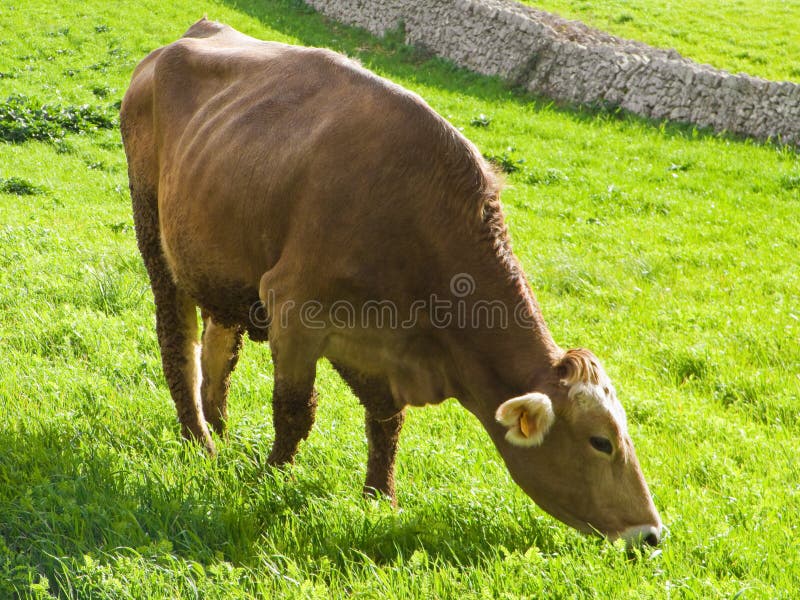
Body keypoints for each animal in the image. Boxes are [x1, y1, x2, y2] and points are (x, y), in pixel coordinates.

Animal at [120, 18, 662, 547]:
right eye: (601, 442)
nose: (652, 533)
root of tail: (186, 37)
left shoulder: (371, 338)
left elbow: (386, 420)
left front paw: (380, 498)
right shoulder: (294, 308)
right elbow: (294, 411)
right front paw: (270, 480)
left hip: (222, 261)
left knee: (219, 350)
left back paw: (220, 430)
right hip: (155, 233)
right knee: (179, 345)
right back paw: (201, 443)